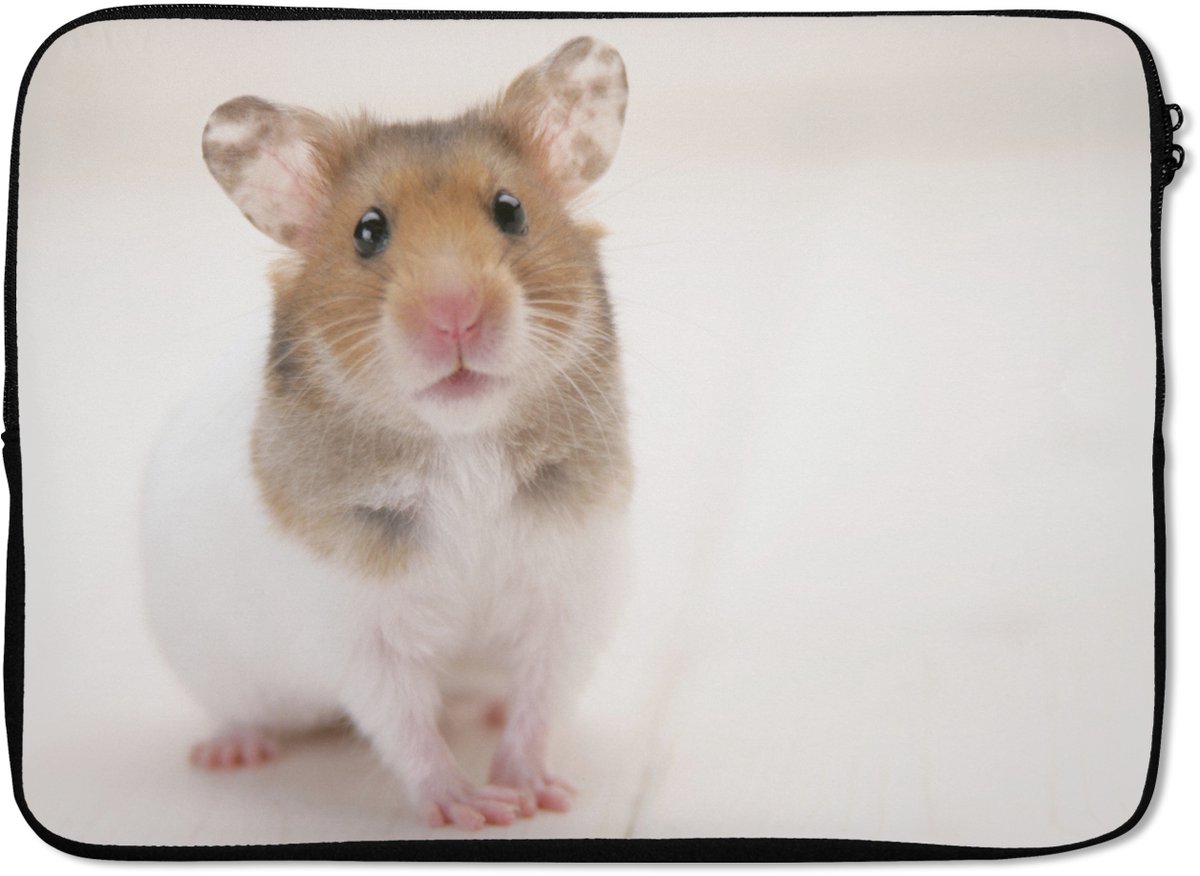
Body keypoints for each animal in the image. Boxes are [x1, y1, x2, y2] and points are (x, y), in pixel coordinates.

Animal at [141, 37, 632, 830]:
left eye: (510, 210)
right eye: (367, 231)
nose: (455, 314)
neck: (464, 444)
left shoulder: (568, 594)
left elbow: (540, 698)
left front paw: (536, 793)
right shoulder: (362, 630)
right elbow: (406, 726)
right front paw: (473, 808)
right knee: (242, 715)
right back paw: (231, 752)